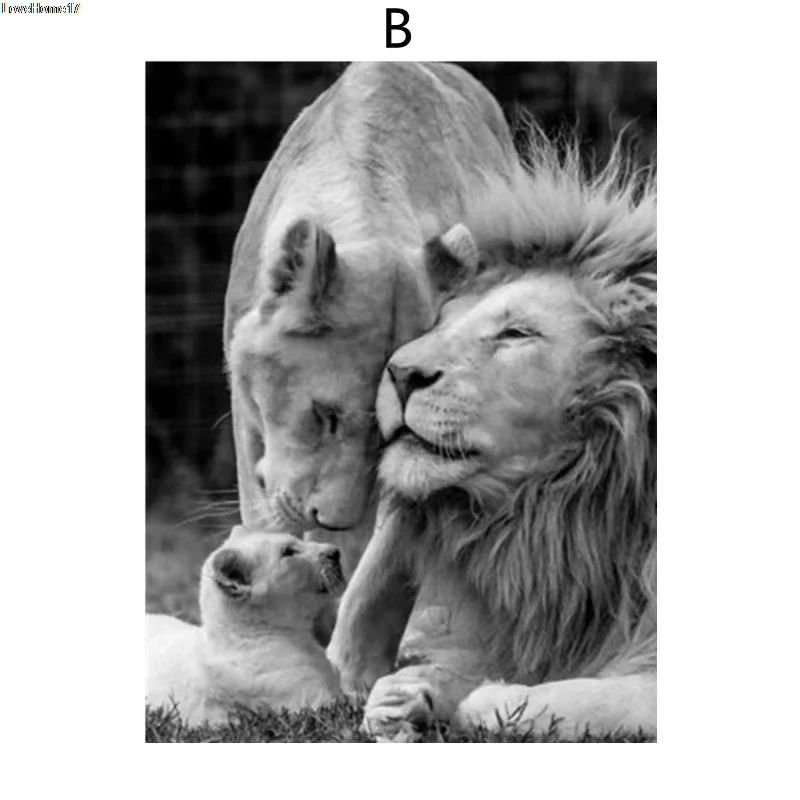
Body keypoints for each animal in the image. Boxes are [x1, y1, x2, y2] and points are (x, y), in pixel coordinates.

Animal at [327, 127, 657, 741]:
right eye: (442, 321)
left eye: (516, 333)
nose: (400, 372)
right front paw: (407, 696)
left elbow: (571, 700)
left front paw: (478, 699)